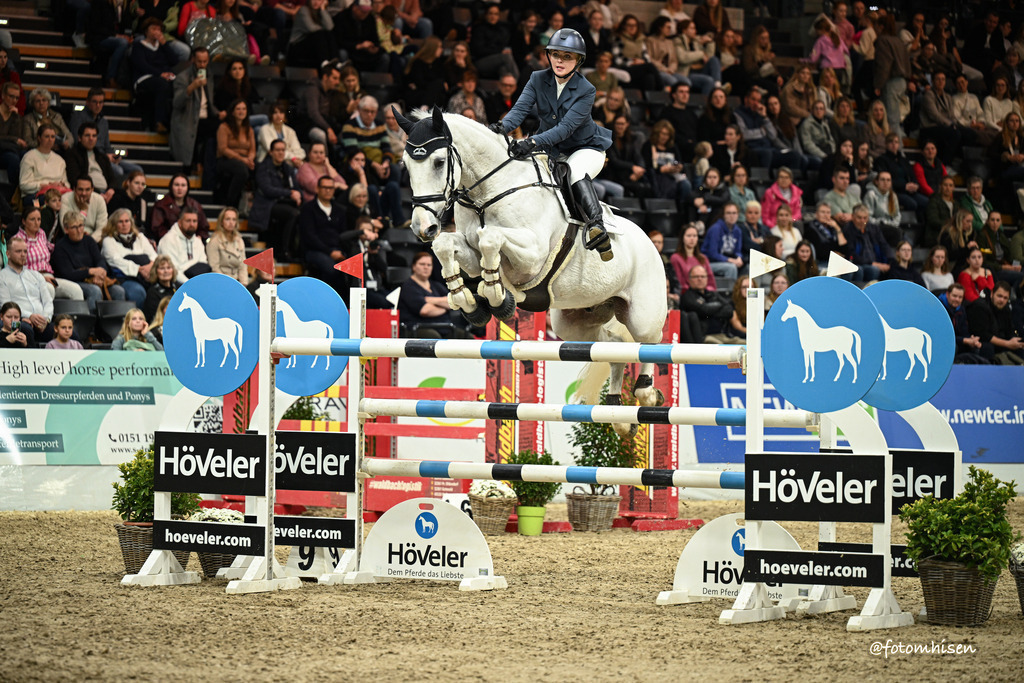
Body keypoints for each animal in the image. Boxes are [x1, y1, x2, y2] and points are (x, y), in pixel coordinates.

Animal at [393, 107, 667, 437]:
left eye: (438, 162)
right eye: (406, 165)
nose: (423, 228)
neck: (489, 192)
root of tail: (650, 242)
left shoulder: (532, 254)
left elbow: (490, 238)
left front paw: (496, 296)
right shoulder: (469, 248)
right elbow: (448, 245)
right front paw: (470, 302)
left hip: (642, 315)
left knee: (648, 342)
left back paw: (647, 393)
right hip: (574, 323)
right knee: (615, 346)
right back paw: (620, 417)